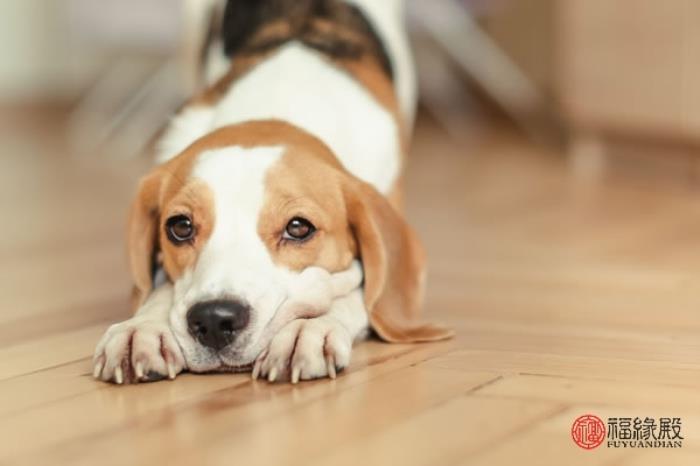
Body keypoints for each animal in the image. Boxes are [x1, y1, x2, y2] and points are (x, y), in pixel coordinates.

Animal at [93, 0, 452, 386]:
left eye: (298, 228)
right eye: (180, 226)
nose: (215, 320)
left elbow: (356, 288)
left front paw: (310, 329)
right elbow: (160, 288)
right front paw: (142, 327)